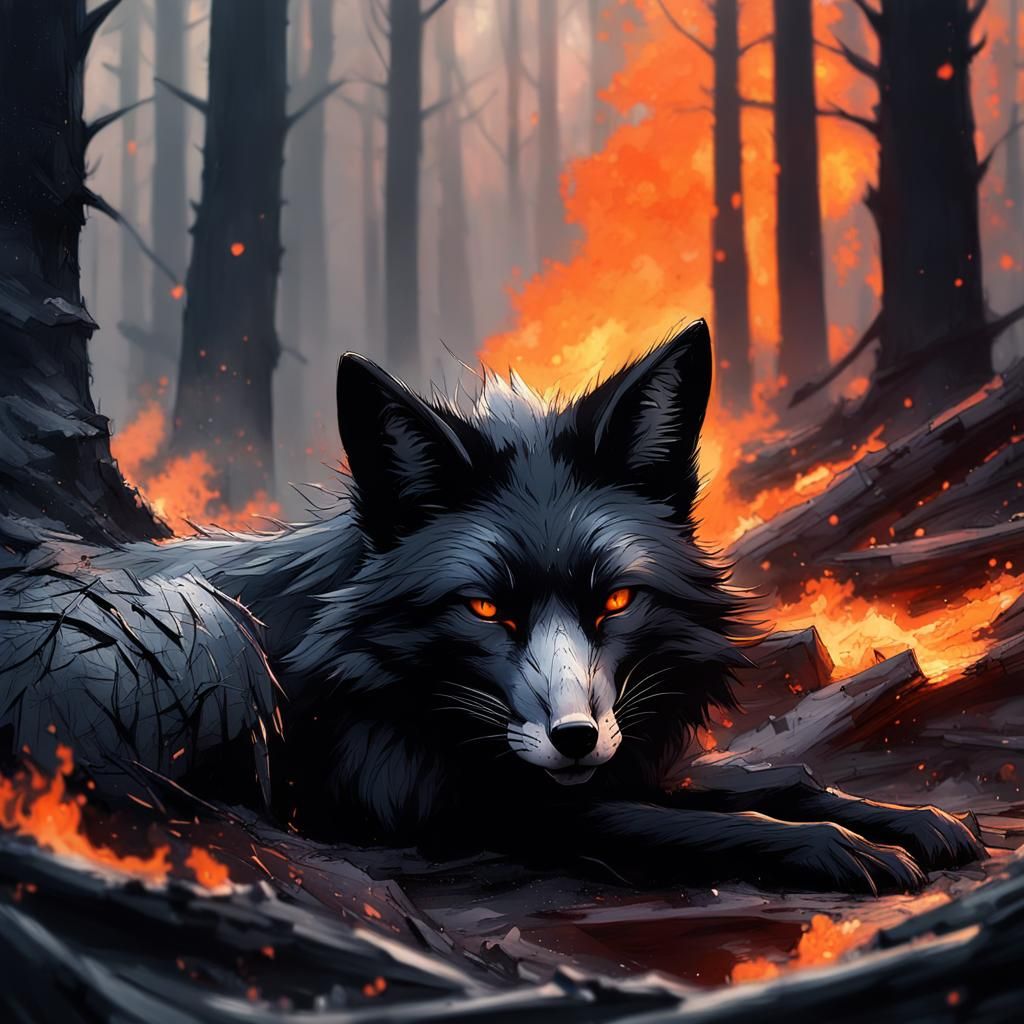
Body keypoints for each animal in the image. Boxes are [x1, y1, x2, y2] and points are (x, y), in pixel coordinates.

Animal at [96, 319, 983, 893]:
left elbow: (775, 780)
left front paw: (913, 821)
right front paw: (847, 849)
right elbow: (701, 820)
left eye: (616, 599)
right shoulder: (476, 811)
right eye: (486, 610)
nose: (575, 738)